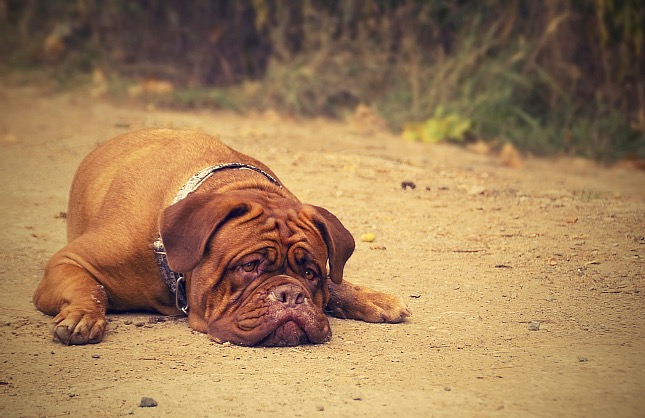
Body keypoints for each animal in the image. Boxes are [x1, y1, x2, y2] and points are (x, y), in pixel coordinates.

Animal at [32, 130, 410, 346]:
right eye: (249, 266)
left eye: (310, 273)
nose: (289, 295)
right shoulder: (68, 261)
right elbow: (90, 288)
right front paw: (83, 316)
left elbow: (335, 283)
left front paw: (369, 297)